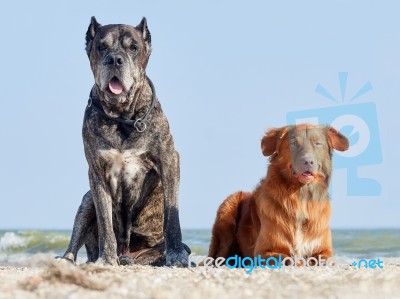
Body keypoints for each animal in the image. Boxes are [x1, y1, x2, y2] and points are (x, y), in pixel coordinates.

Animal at [61, 17, 189, 268]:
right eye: (101, 47)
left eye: (133, 48)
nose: (114, 59)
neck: (122, 117)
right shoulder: (97, 172)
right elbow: (105, 222)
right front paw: (107, 259)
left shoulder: (169, 160)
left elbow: (172, 217)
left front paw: (176, 254)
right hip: (86, 200)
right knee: (75, 244)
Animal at [208, 124, 348, 264]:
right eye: (293, 143)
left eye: (317, 143)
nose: (308, 161)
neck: (300, 196)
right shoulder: (265, 250)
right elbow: (288, 259)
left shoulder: (323, 250)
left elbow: (325, 259)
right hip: (228, 207)